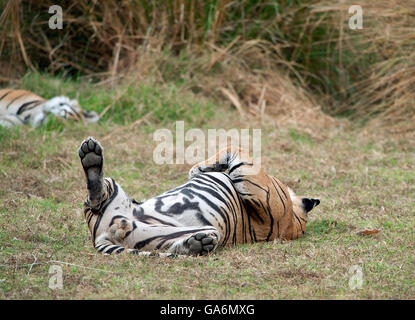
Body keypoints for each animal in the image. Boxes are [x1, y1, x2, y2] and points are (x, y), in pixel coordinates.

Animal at [79, 136, 322, 256]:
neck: (292, 223)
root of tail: (104, 234)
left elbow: (233, 146)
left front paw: (198, 169)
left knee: (96, 195)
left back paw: (91, 156)